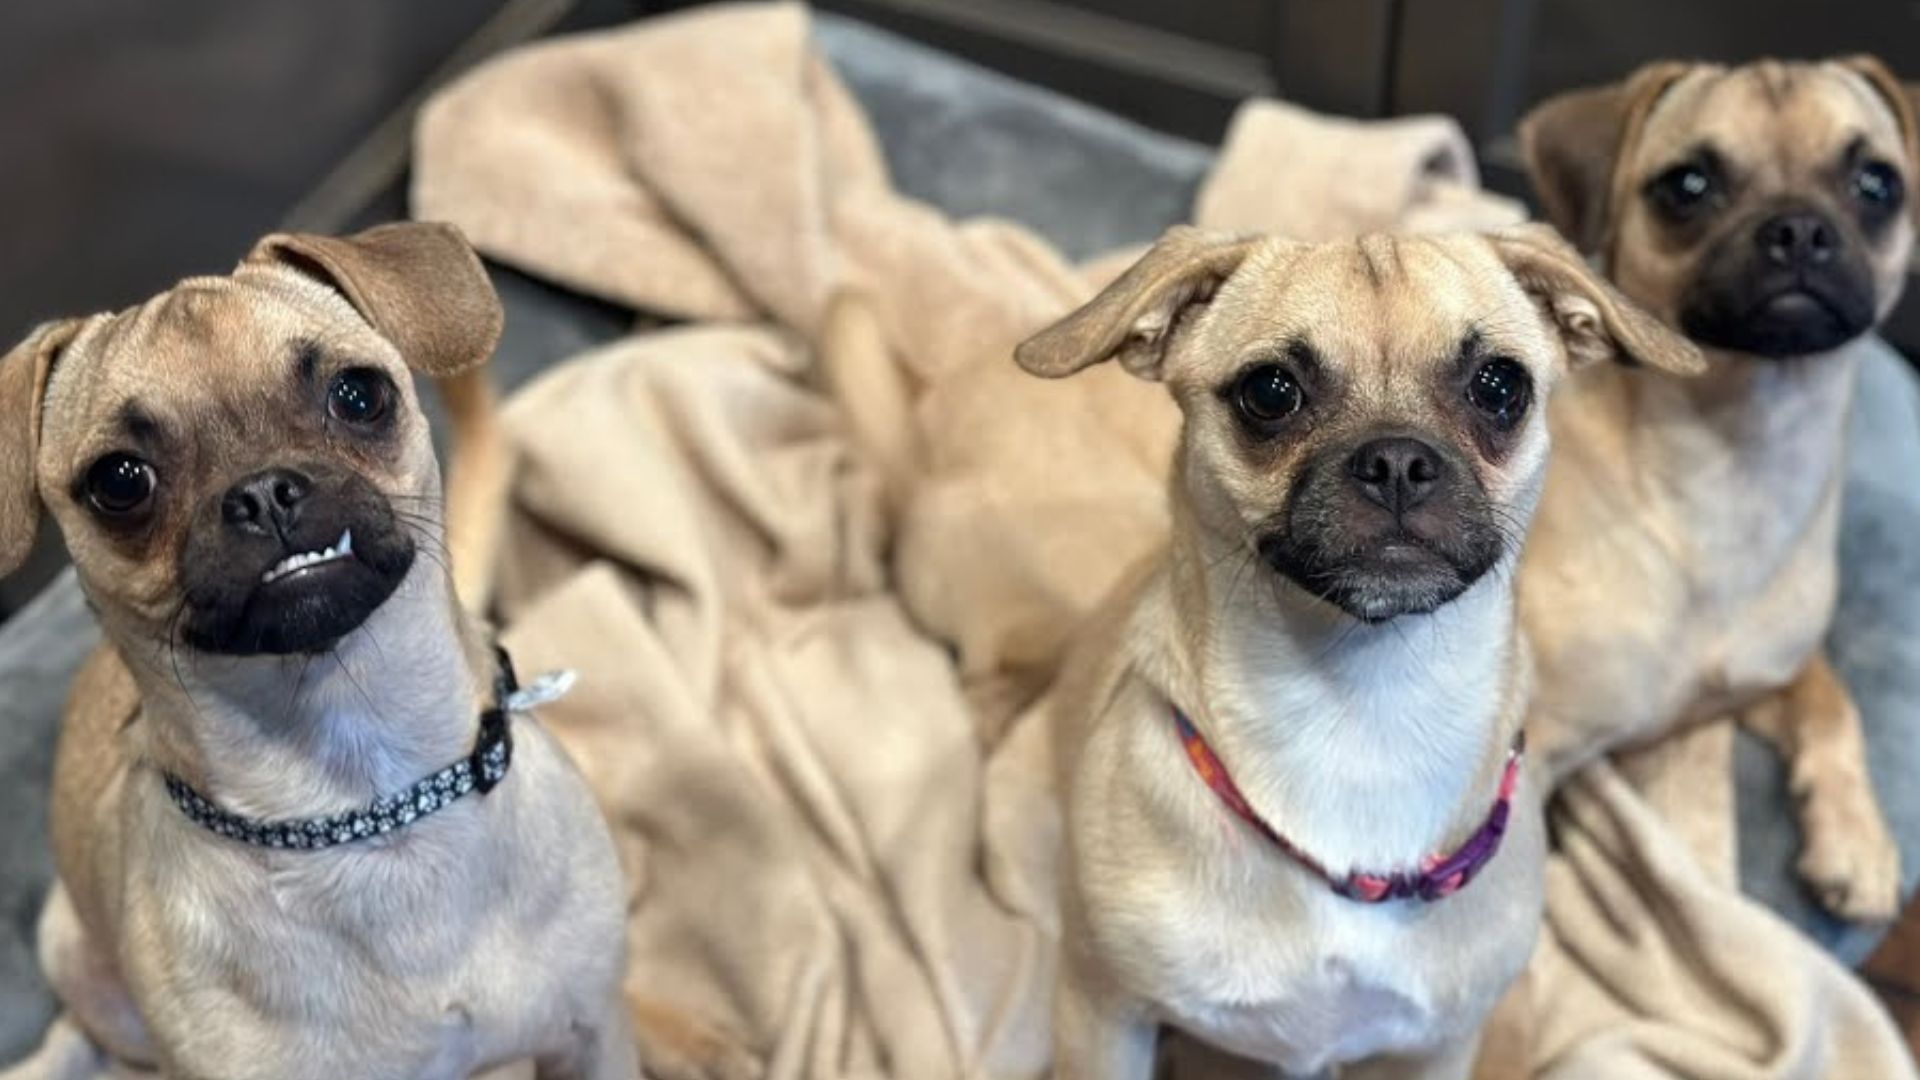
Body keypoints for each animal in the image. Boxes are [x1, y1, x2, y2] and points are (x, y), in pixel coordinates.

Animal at [0, 220, 645, 1076]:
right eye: (121, 481)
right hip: (76, 957)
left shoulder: (594, 1036)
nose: (263, 491)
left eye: (359, 395)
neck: (364, 803)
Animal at [1512, 56, 1920, 914]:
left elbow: (1835, 702)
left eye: (1876, 183)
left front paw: (1857, 838)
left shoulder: (1764, 675)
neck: (1739, 451)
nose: (1798, 229)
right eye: (1688, 186)